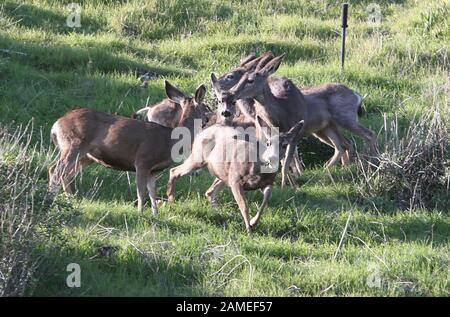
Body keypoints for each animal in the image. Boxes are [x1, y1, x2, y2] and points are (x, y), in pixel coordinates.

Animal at [47, 81, 209, 215]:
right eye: (206, 107)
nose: (209, 119)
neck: (170, 139)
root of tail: (56, 125)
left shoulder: (153, 170)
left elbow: (152, 193)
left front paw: (155, 215)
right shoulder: (143, 161)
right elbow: (141, 192)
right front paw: (140, 213)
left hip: (86, 156)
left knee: (64, 174)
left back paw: (69, 199)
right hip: (73, 144)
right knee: (55, 169)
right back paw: (51, 198)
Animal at [166, 113, 306, 232]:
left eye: (284, 145)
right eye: (268, 143)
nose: (271, 158)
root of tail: (204, 129)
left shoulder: (266, 183)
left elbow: (266, 198)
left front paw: (253, 222)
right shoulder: (236, 180)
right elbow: (244, 206)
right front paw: (249, 230)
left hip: (223, 173)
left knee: (209, 192)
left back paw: (219, 212)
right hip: (199, 157)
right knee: (174, 171)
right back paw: (171, 198)